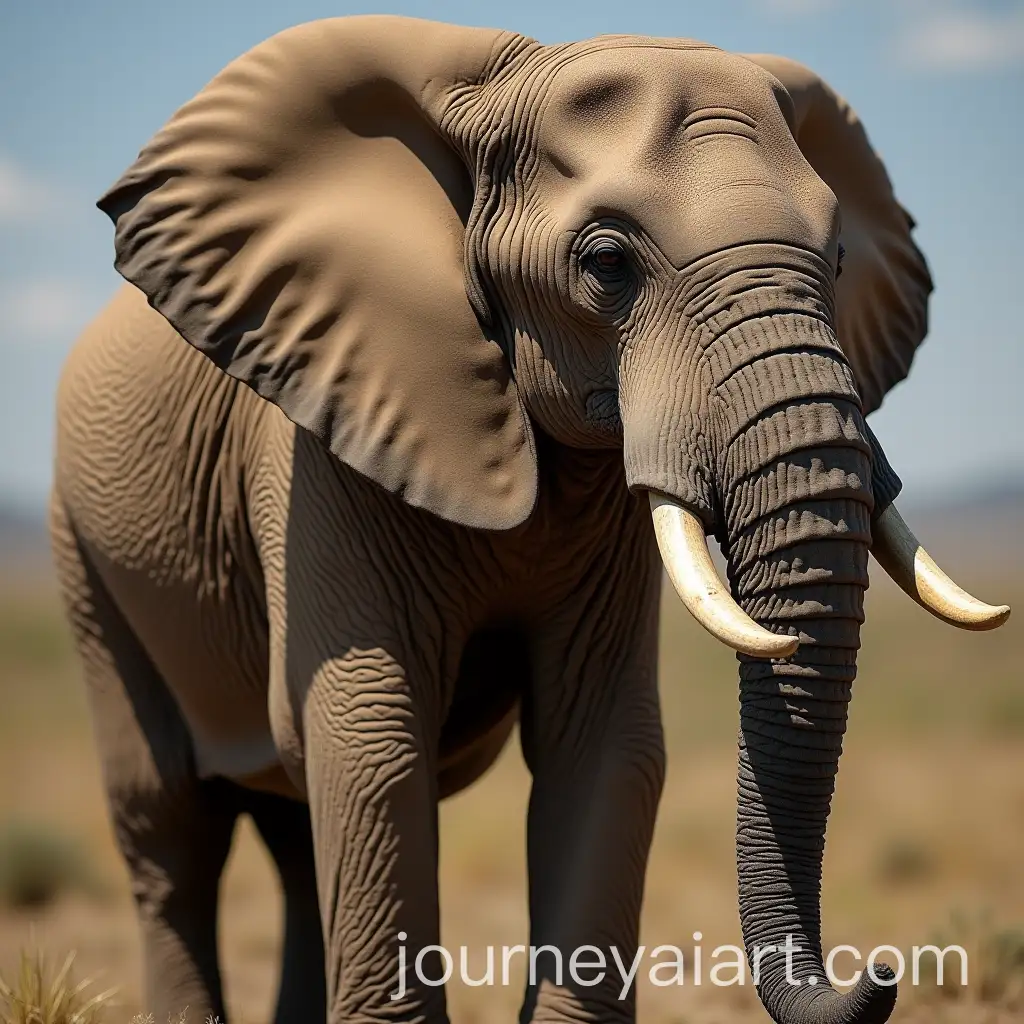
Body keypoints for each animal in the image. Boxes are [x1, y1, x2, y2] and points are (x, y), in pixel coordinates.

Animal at [49, 15, 1010, 1024]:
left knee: (289, 828)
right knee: (170, 826)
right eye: (606, 264)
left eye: (836, 261)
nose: (886, 968)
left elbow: (608, 746)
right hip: (85, 553)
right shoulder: (320, 445)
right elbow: (372, 740)